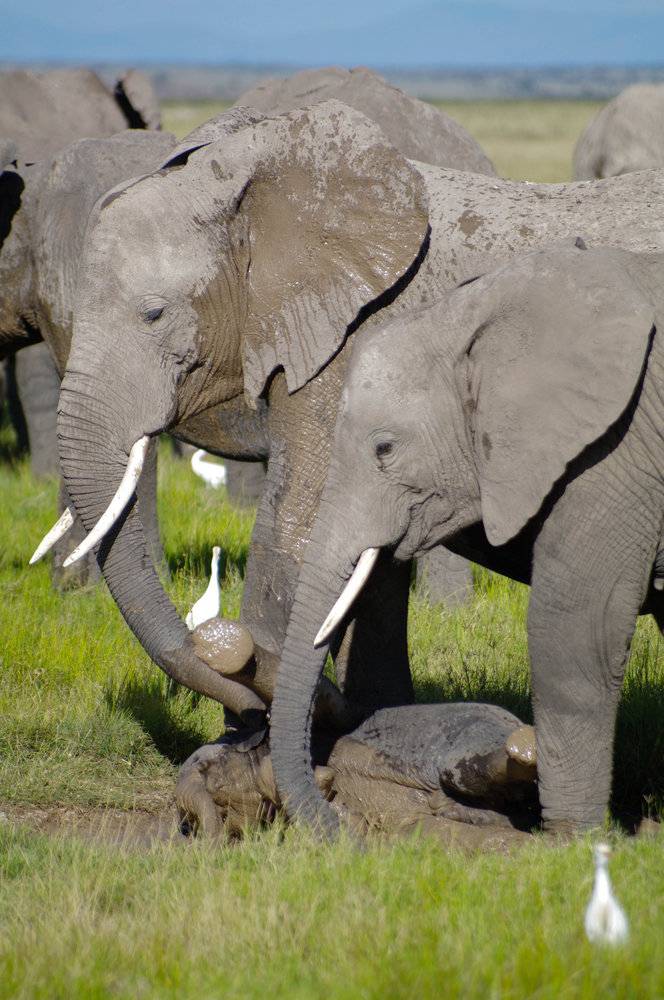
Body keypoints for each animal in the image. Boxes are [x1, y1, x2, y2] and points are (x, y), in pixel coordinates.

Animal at [49, 100, 664, 748]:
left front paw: (257, 747)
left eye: (153, 314)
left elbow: (296, 522)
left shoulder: (361, 341)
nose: (248, 701)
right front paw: (363, 724)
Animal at [269, 242, 664, 837]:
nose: (343, 824)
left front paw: (571, 841)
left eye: (384, 449)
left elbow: (576, 623)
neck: (474, 317)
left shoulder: (617, 447)